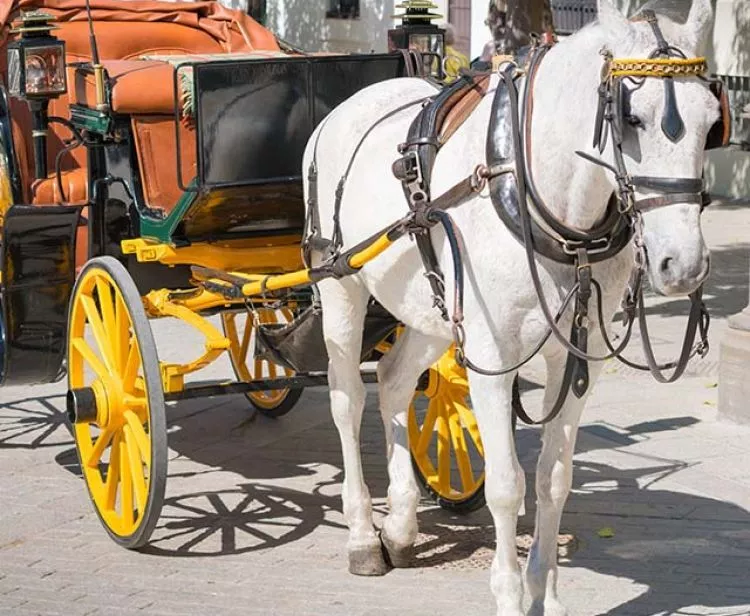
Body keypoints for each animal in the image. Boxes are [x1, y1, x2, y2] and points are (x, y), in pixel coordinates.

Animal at [304, 2, 716, 612]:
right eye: (632, 118)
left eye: (712, 122)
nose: (682, 264)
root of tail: (343, 110)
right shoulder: (492, 356)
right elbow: (506, 486)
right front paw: (509, 594)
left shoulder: (579, 356)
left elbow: (553, 479)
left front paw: (545, 594)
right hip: (340, 285)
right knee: (347, 399)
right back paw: (360, 535)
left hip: (431, 309)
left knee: (395, 381)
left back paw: (400, 526)